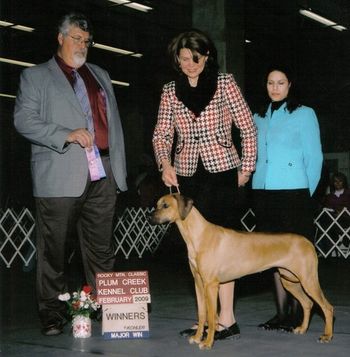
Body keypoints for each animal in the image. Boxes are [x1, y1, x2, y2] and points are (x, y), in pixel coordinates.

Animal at [148, 193, 334, 350]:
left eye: (165, 205)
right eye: (157, 204)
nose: (149, 218)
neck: (198, 235)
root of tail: (308, 242)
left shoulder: (211, 285)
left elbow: (211, 317)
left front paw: (208, 342)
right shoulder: (198, 283)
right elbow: (201, 314)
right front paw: (197, 337)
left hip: (308, 280)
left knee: (328, 307)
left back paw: (327, 336)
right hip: (288, 280)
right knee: (308, 303)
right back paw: (302, 329)